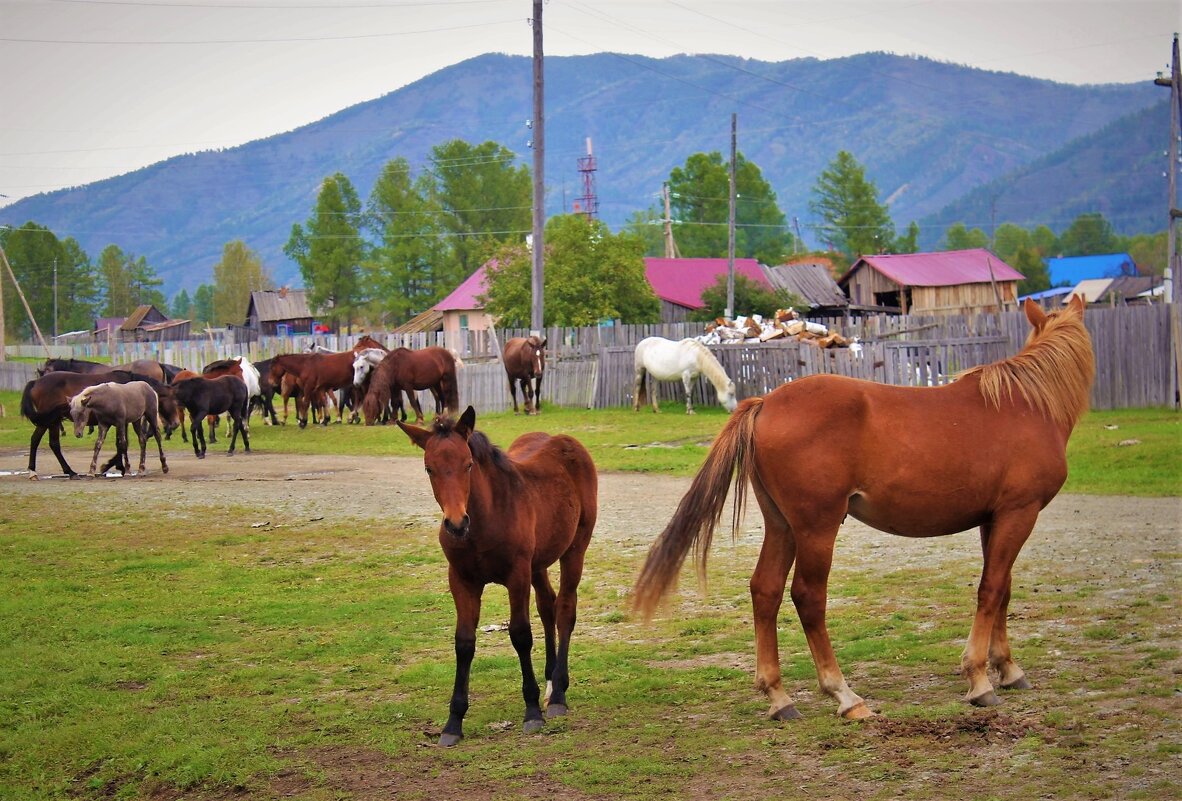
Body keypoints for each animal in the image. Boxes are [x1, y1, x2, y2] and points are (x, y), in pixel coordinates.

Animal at [399, 411, 600, 751]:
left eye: (468, 464)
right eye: (429, 468)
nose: (456, 524)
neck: (484, 521)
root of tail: (567, 441)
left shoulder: (516, 575)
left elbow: (520, 634)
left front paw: (532, 712)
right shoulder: (462, 581)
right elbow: (464, 642)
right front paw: (453, 723)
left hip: (575, 548)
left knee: (565, 609)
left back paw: (558, 693)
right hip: (538, 562)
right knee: (547, 605)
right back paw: (550, 681)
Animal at [633, 297, 1092, 723]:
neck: (1026, 404)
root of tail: (765, 403)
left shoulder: (994, 520)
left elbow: (1002, 589)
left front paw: (1008, 669)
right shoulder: (1019, 513)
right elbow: (991, 590)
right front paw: (980, 680)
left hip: (782, 526)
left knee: (765, 591)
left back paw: (779, 697)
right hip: (817, 528)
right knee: (808, 597)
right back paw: (845, 695)